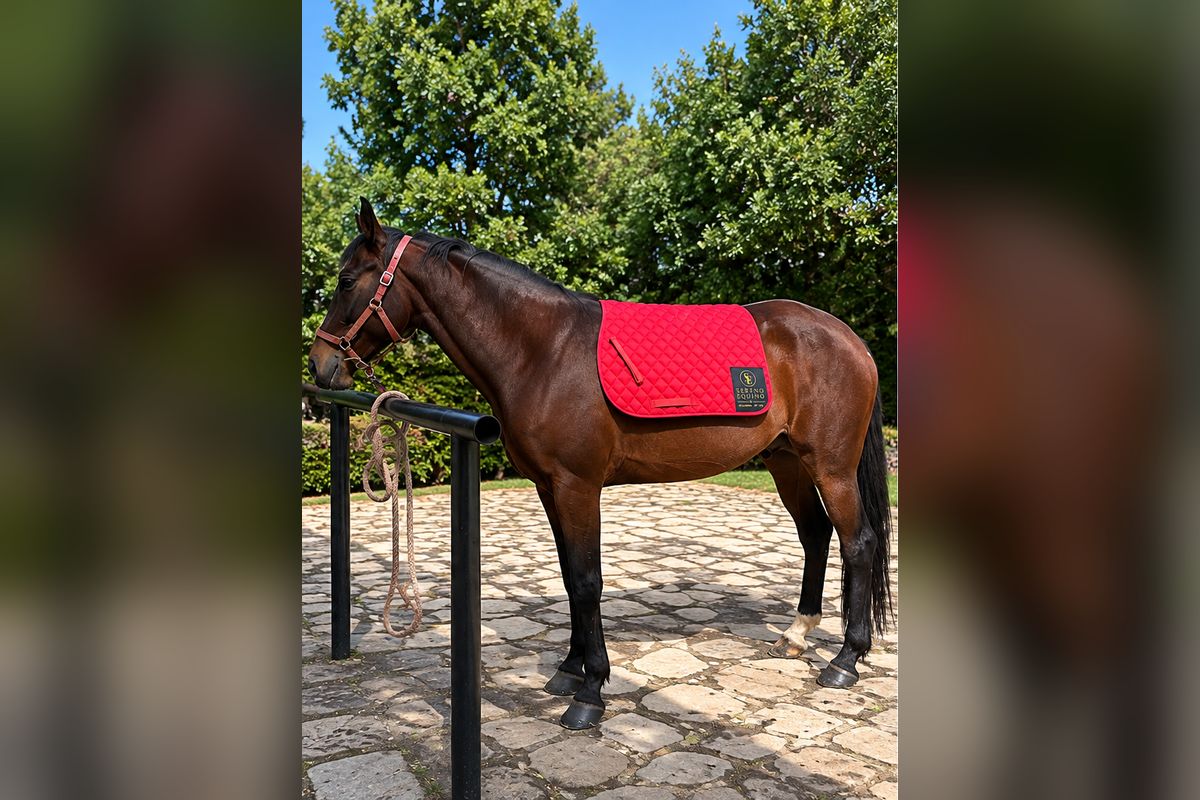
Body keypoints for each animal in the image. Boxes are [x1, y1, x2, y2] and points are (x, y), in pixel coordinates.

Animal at [308, 199, 893, 730]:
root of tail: (852, 340)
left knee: (859, 542)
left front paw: (590, 693)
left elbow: (588, 582)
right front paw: (570, 669)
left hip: (830, 467)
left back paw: (845, 660)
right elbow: (571, 577)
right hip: (786, 463)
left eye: (345, 280)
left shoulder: (578, 487)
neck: (543, 351)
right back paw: (796, 635)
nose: (321, 366)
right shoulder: (549, 488)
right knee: (816, 536)